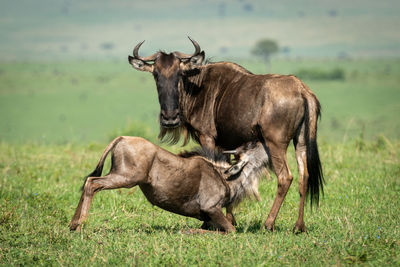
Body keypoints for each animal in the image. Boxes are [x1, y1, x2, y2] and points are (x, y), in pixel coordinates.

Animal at [69, 136, 268, 232]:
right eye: (250, 146)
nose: (264, 140)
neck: (225, 177)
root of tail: (122, 138)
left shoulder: (208, 217)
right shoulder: (211, 208)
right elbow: (231, 230)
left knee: (88, 182)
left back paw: (72, 224)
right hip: (126, 178)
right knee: (92, 183)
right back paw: (80, 225)